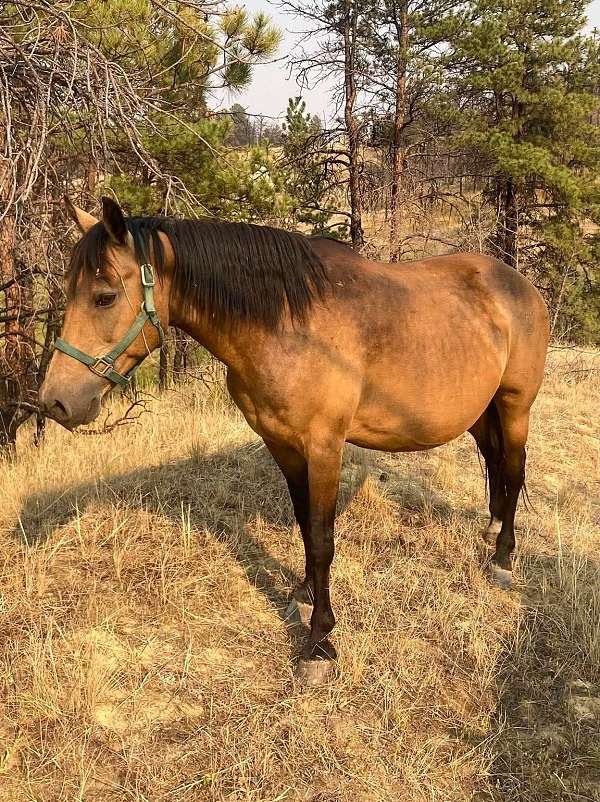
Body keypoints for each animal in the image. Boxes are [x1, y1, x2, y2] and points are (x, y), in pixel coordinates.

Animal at [39, 197, 549, 685]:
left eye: (104, 297)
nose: (55, 402)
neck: (288, 326)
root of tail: (518, 283)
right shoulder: (281, 445)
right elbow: (305, 525)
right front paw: (302, 595)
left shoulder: (324, 447)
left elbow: (322, 539)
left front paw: (319, 642)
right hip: (480, 410)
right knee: (495, 463)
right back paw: (490, 530)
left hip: (515, 406)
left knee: (514, 467)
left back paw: (503, 558)